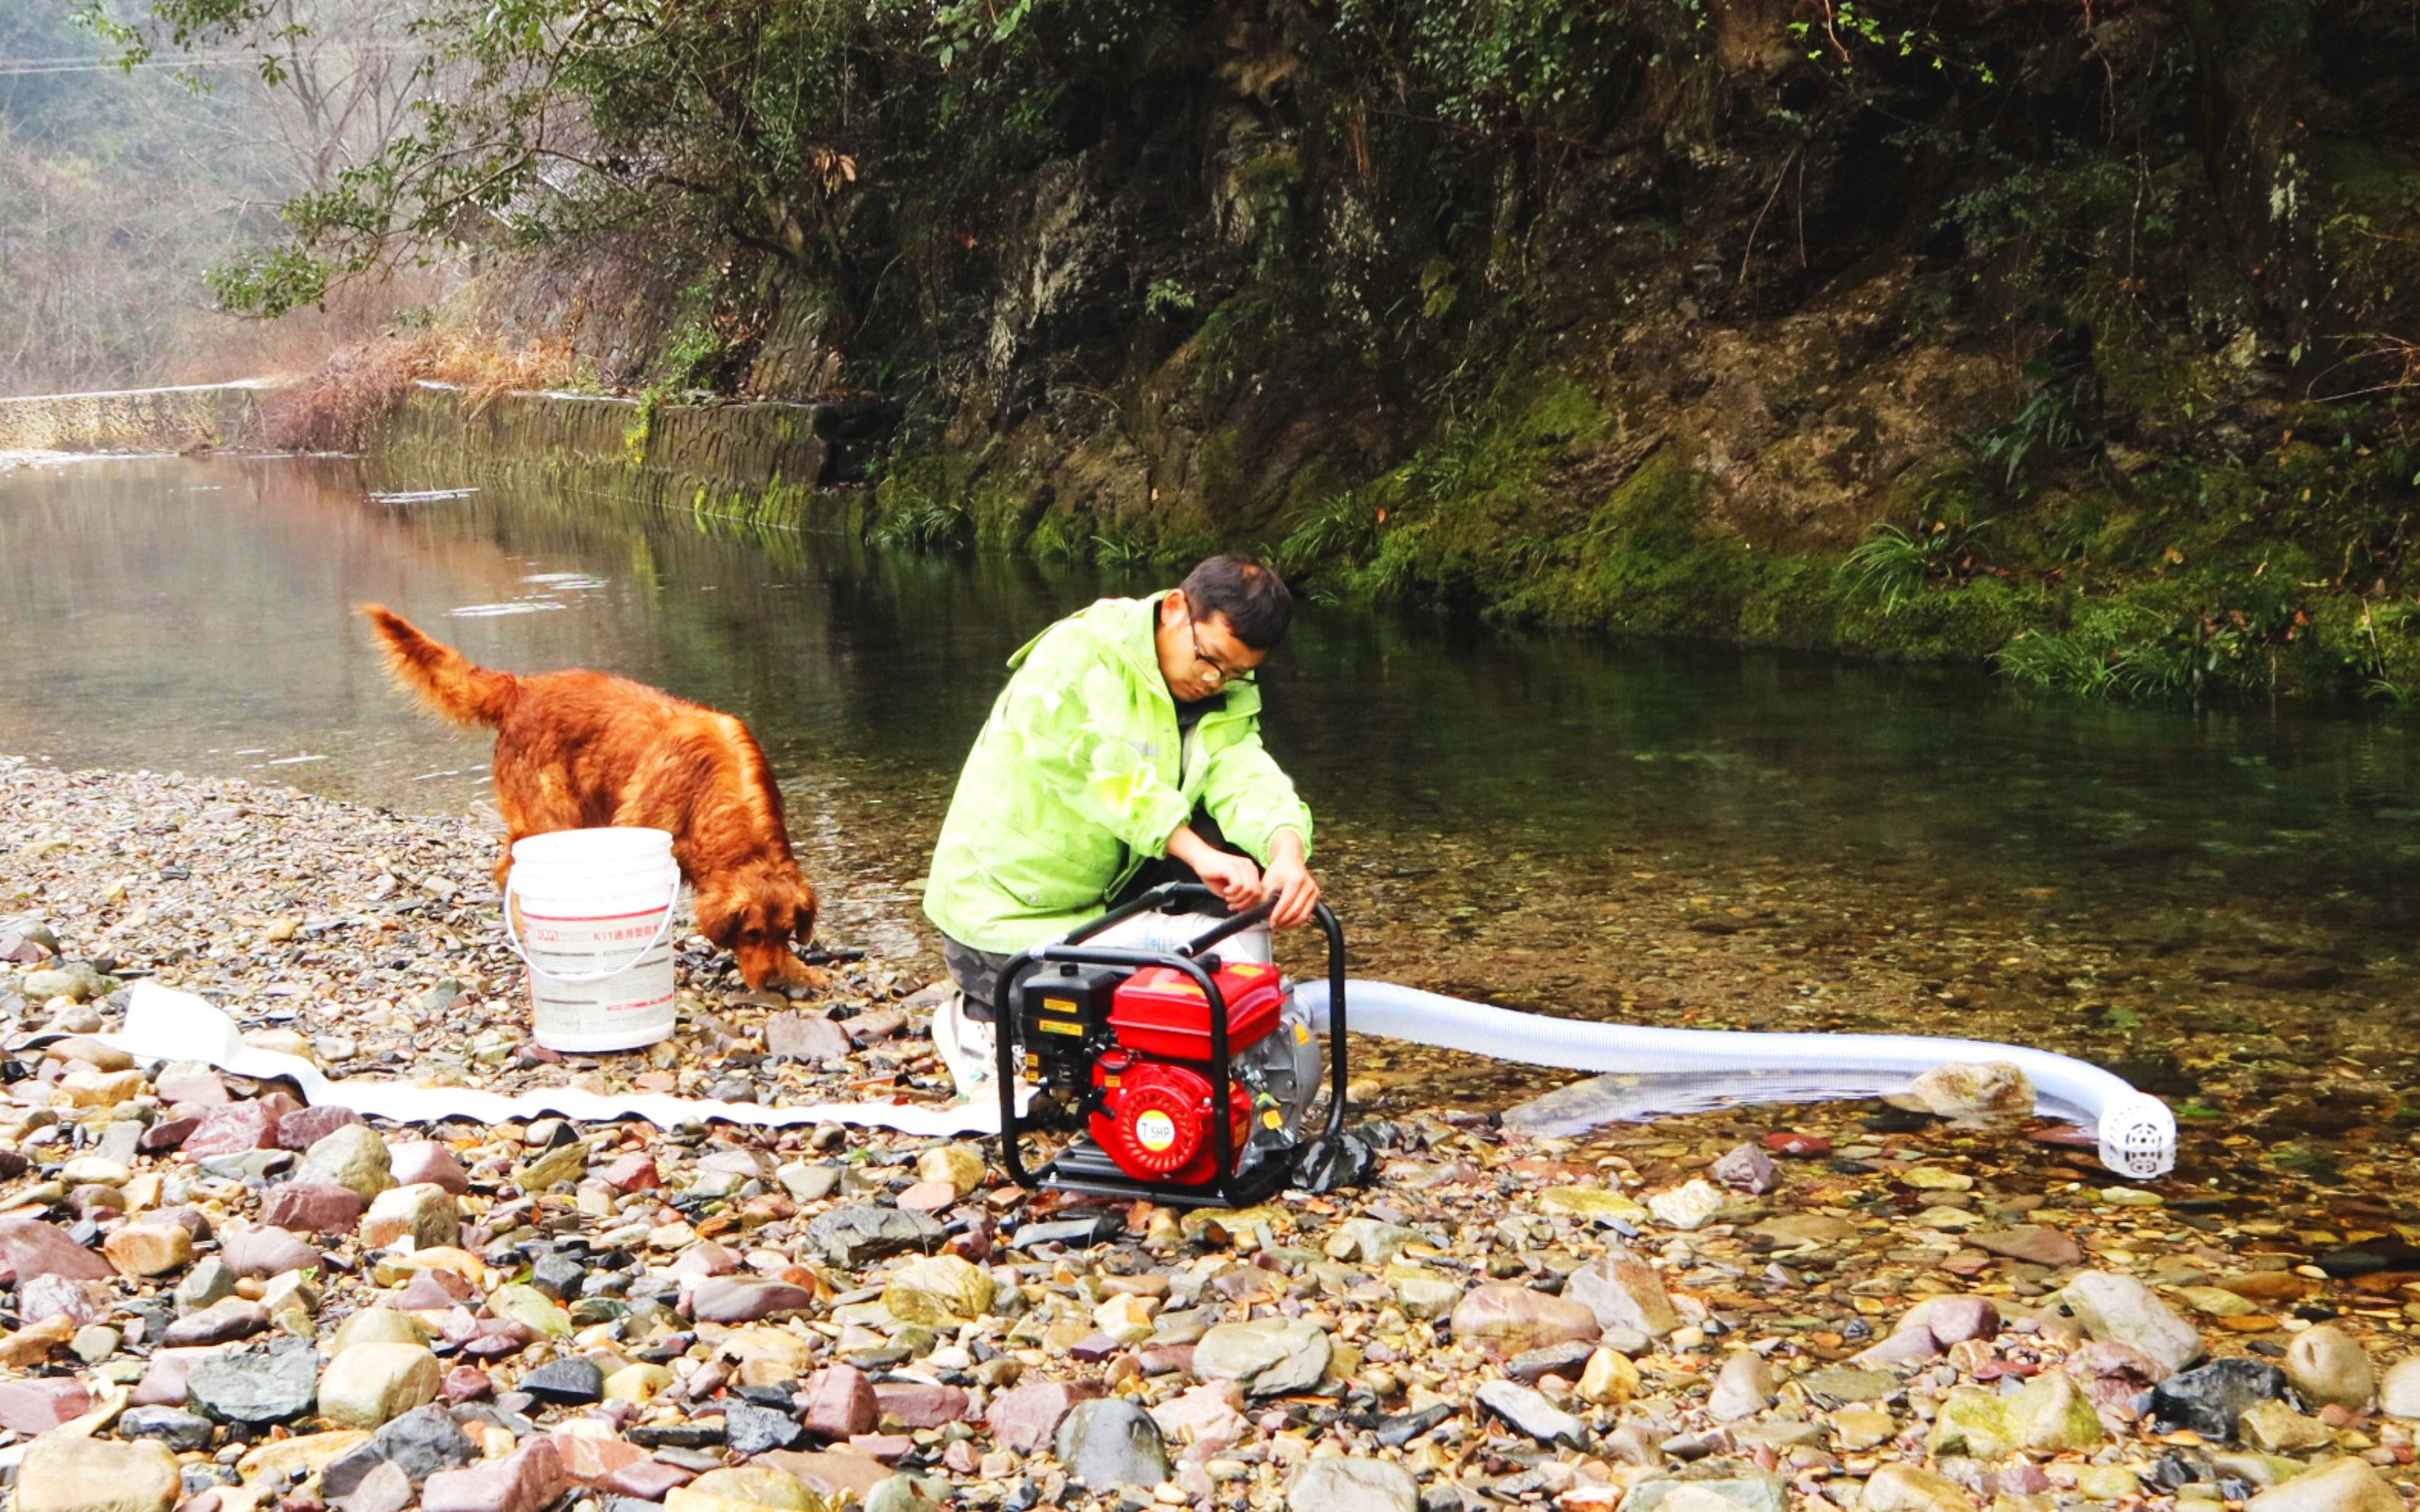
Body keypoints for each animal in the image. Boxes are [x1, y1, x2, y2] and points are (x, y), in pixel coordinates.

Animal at [363, 602, 822, 991]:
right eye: (752, 934)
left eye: (786, 933)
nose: (776, 985)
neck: (714, 795)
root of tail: (522, 687)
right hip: (551, 815)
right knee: (508, 870)